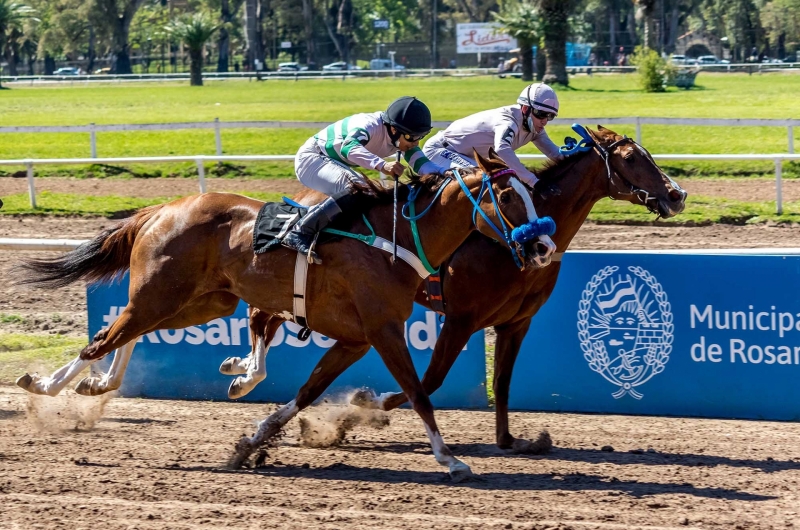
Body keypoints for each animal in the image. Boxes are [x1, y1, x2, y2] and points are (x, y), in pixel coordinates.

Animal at [15, 147, 552, 478]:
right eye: (508, 196)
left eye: (532, 193)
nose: (544, 247)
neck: (397, 238)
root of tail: (162, 209)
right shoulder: (383, 329)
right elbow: (419, 393)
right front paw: (450, 460)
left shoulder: (356, 339)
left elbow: (308, 391)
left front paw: (253, 440)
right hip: (162, 295)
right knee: (103, 338)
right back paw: (45, 386)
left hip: (201, 301)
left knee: (122, 334)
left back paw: (92, 384)